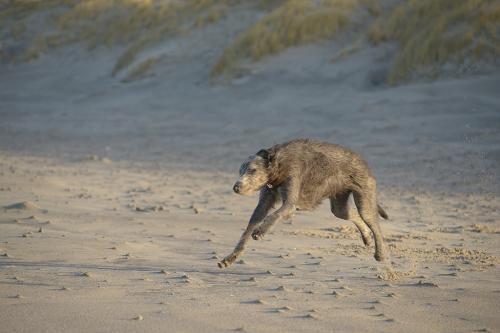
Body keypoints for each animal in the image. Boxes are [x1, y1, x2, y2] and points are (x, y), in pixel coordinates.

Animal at [217, 137, 388, 268]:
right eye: (240, 171)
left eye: (252, 170)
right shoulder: (263, 204)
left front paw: (260, 231)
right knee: (353, 216)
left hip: (364, 201)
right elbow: (247, 231)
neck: (278, 164)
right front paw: (230, 258)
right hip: (339, 207)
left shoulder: (290, 203)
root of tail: (364, 162)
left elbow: (274, 215)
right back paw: (366, 236)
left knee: (375, 226)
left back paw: (380, 253)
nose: (236, 187)